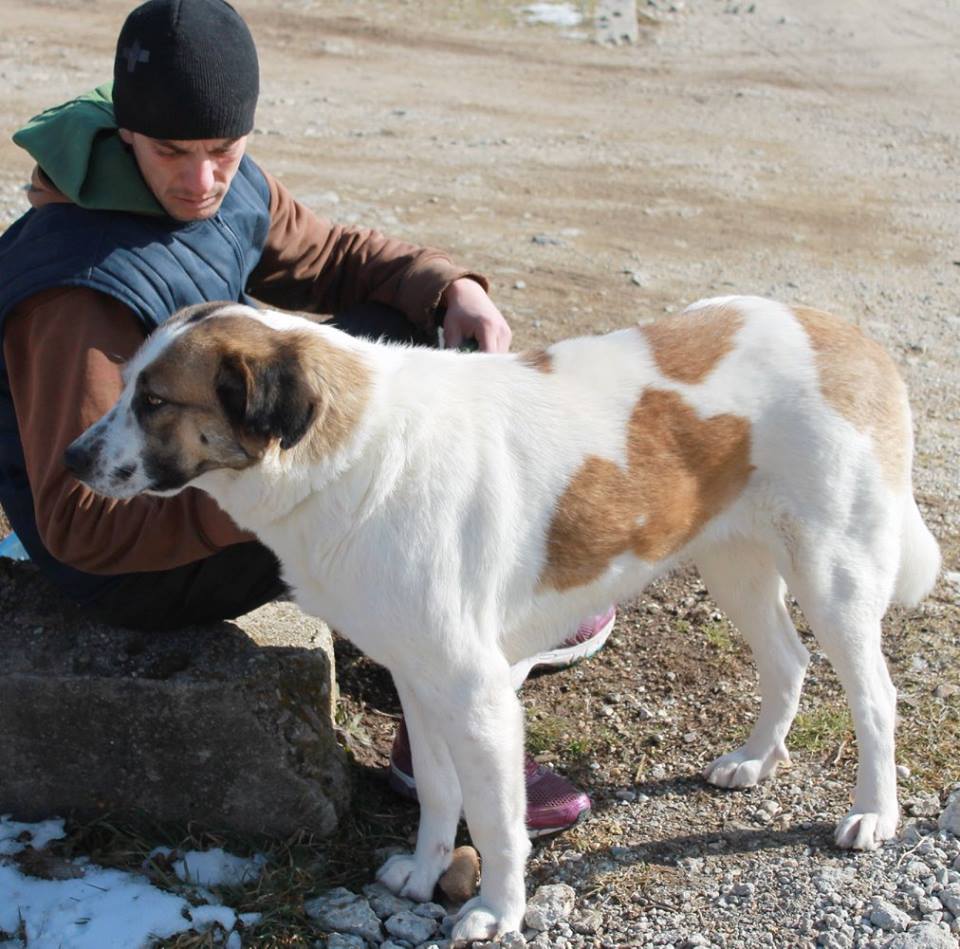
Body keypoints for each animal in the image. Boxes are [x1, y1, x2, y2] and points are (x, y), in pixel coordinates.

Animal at [65, 296, 936, 940]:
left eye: (153, 401)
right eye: (127, 385)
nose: (70, 458)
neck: (358, 453)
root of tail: (850, 336)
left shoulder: (476, 692)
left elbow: (492, 815)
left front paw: (495, 910)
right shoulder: (418, 677)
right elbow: (437, 791)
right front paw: (424, 875)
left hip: (834, 577)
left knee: (875, 698)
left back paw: (872, 812)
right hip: (734, 561)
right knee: (787, 660)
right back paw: (755, 760)